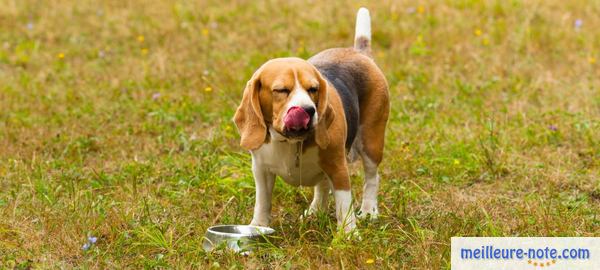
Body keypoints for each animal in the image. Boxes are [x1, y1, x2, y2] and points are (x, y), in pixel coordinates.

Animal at [234, 7, 390, 232]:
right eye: (281, 90)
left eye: (313, 89)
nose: (308, 110)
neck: (290, 142)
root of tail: (358, 52)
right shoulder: (261, 170)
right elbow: (262, 201)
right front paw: (258, 227)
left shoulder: (338, 166)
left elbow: (344, 205)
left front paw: (349, 235)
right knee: (323, 185)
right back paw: (316, 211)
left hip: (371, 140)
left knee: (371, 177)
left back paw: (369, 211)